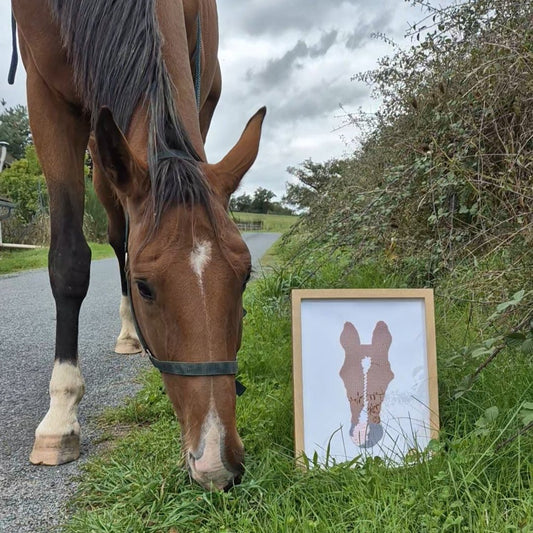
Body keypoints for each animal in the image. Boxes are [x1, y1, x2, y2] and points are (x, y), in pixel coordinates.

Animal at [10, 0, 264, 490]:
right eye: (145, 286)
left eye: (245, 276)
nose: (216, 464)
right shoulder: (44, 95)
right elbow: (70, 261)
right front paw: (61, 416)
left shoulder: (201, 94)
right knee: (116, 234)